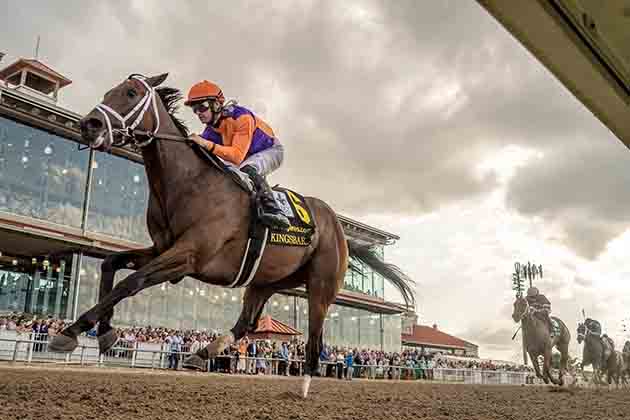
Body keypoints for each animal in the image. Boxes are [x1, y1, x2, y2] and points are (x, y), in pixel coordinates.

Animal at [49, 74, 414, 398]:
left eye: (131, 92)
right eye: (109, 92)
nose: (90, 124)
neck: (189, 183)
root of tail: (339, 229)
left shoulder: (188, 256)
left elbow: (131, 282)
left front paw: (72, 331)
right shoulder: (162, 248)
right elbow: (110, 263)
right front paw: (100, 333)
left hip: (321, 286)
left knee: (314, 338)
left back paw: (304, 388)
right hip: (265, 281)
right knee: (247, 323)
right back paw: (203, 353)